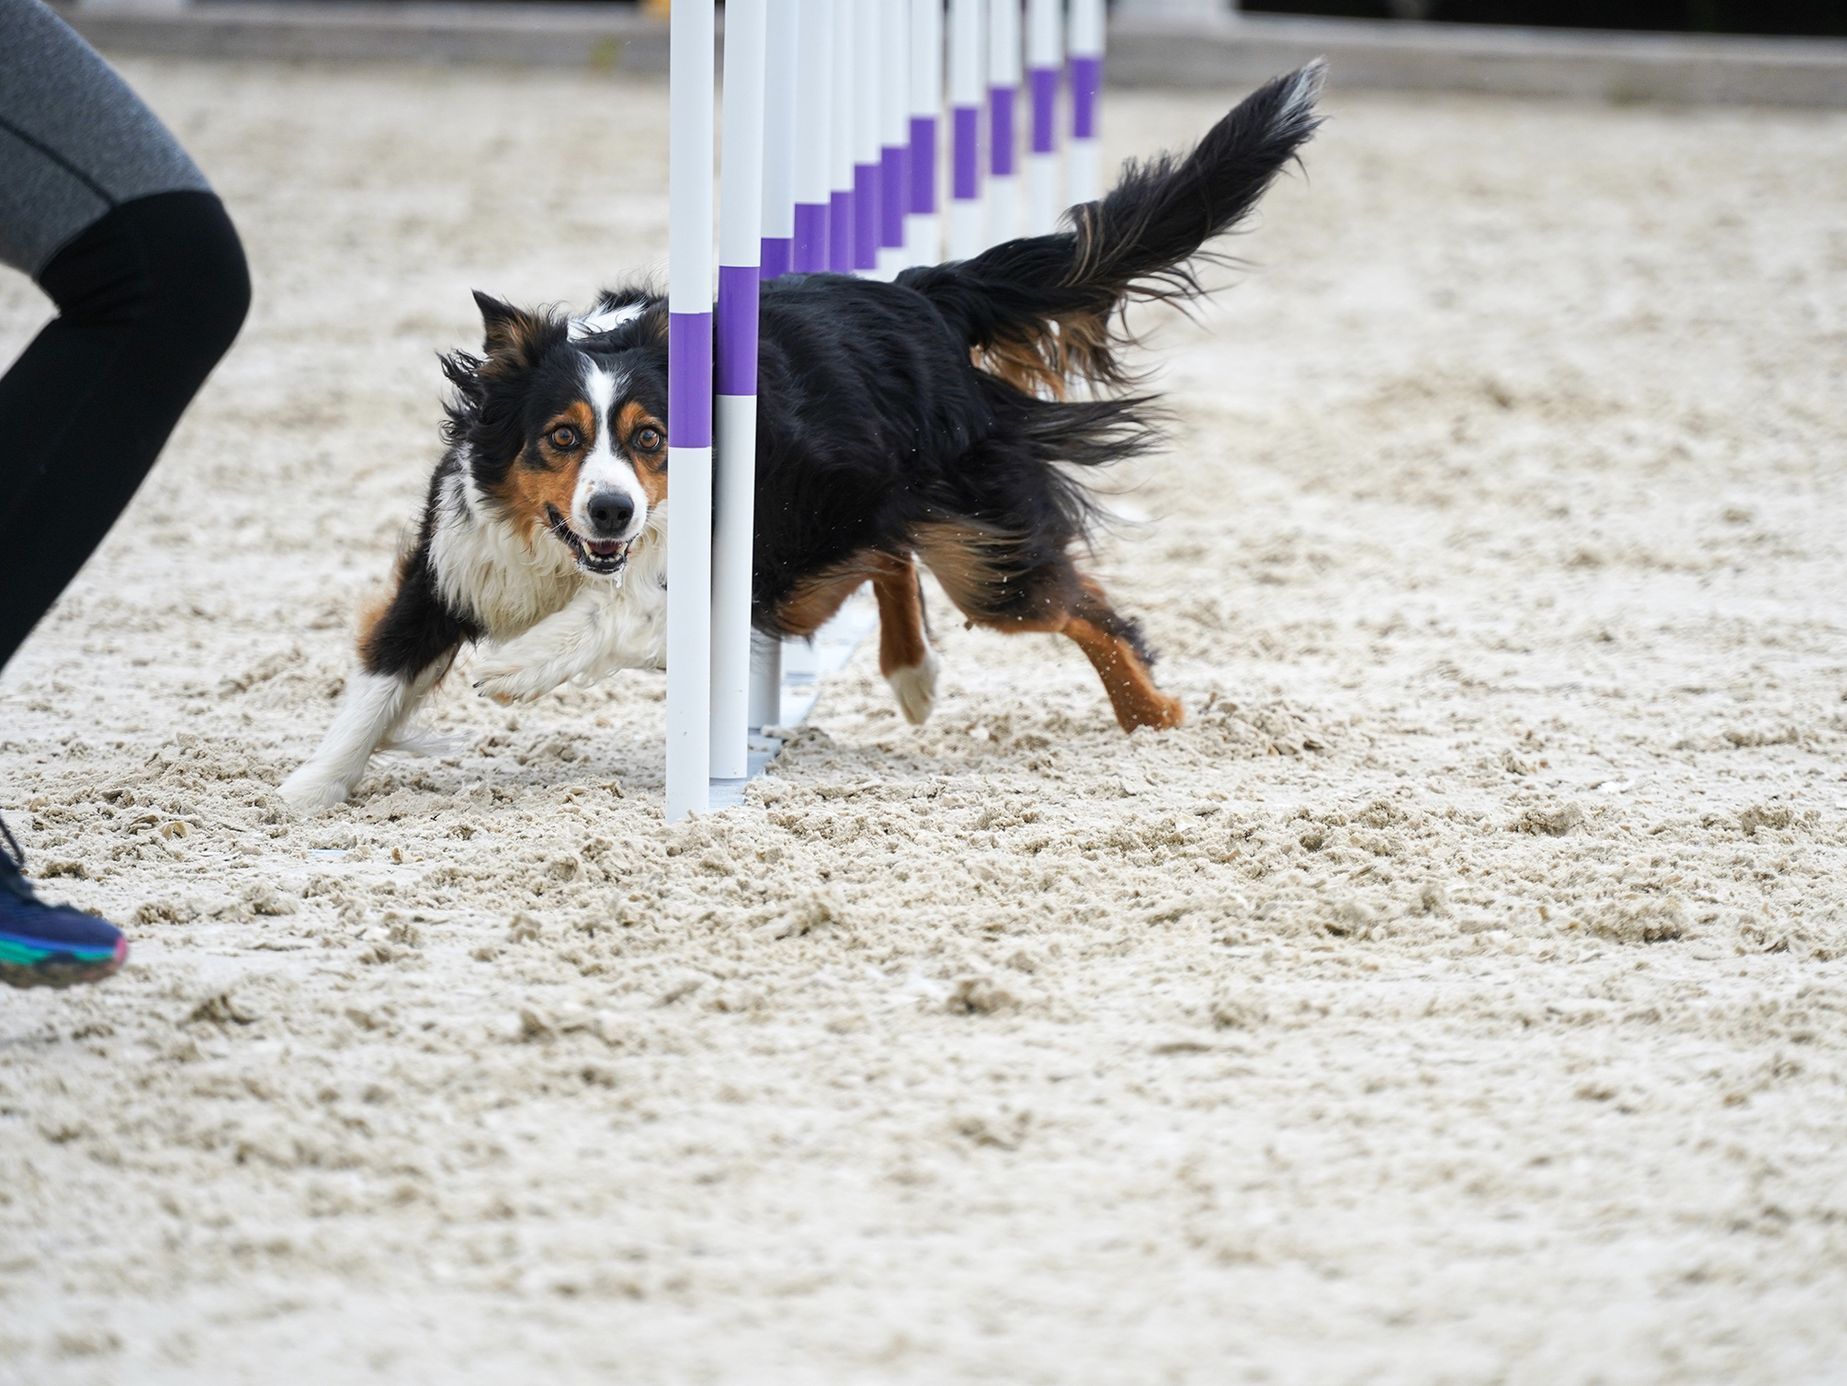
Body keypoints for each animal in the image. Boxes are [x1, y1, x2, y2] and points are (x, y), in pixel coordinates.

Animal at [277, 62, 1329, 813]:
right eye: (560, 438)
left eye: (652, 439)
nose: (612, 510)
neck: (559, 552)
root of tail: (920, 295)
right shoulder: (454, 566)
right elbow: (378, 680)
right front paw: (310, 790)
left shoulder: (722, 563)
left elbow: (621, 611)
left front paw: (517, 666)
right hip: (850, 509)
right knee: (893, 558)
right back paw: (913, 675)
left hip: (965, 545)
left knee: (1077, 604)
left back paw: (1153, 716)